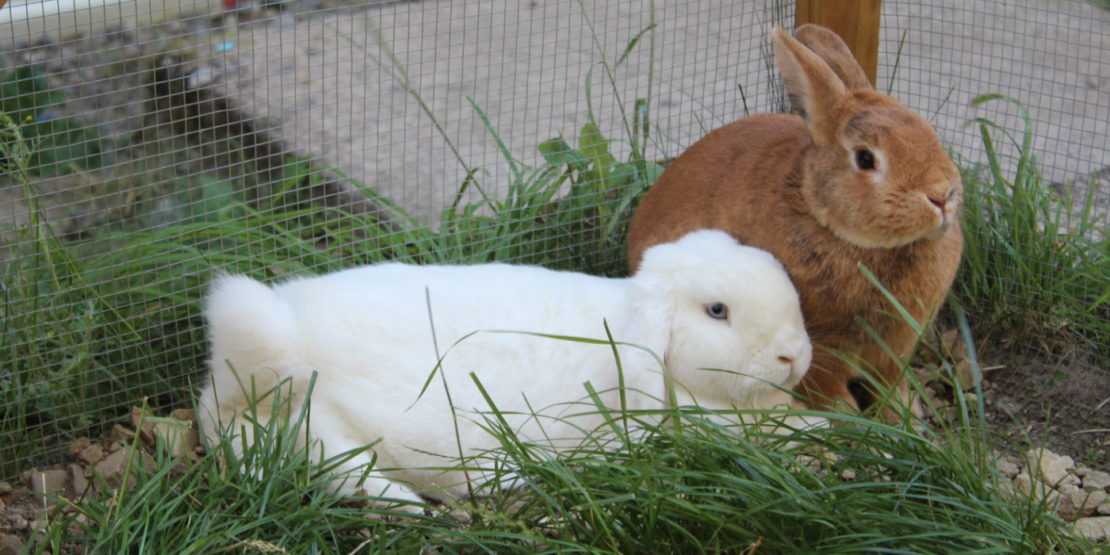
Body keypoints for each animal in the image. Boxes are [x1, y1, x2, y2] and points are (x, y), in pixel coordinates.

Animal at [626, 24, 963, 417]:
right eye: (865, 158)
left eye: (927, 130)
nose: (942, 195)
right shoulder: (824, 349)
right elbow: (830, 392)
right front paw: (849, 420)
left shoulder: (895, 349)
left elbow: (891, 386)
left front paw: (906, 416)